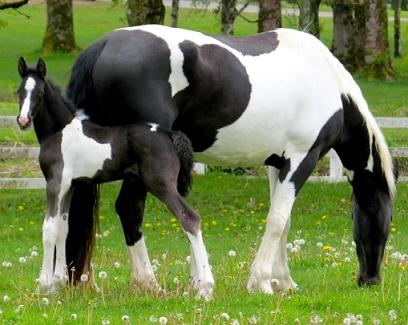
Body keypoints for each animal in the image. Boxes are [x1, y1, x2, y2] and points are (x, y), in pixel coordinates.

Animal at [15, 57, 214, 296]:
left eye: (41, 92)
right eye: (19, 91)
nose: (23, 120)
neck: (59, 133)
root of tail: (168, 133)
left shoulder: (55, 183)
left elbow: (49, 229)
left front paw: (44, 285)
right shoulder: (69, 186)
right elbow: (63, 228)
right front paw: (57, 284)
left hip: (161, 185)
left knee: (190, 218)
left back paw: (206, 288)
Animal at [64, 26, 396, 296]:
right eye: (386, 221)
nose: (371, 280)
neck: (327, 83)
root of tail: (104, 44)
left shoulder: (278, 163)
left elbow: (284, 220)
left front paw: (284, 281)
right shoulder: (303, 158)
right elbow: (277, 220)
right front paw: (261, 282)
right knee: (130, 209)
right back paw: (149, 283)